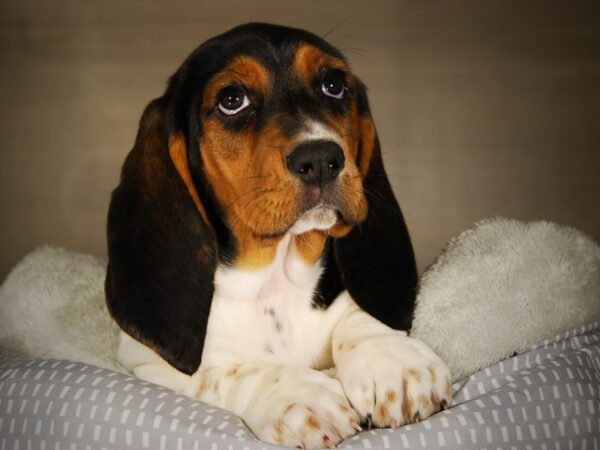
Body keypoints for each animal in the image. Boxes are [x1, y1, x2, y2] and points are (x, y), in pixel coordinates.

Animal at [105, 22, 450, 448]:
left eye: (334, 85)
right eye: (232, 99)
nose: (321, 159)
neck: (274, 281)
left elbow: (360, 312)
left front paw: (391, 359)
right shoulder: (145, 366)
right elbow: (217, 376)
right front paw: (296, 395)